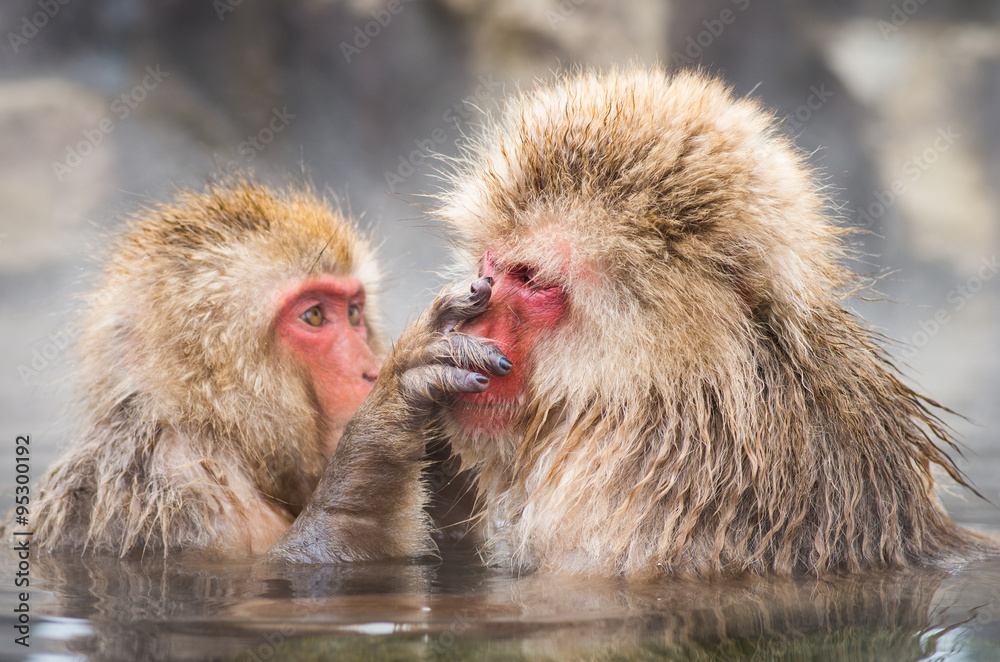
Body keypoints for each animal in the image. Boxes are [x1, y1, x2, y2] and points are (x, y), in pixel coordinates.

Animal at [270, 67, 996, 577]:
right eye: (488, 270)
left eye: (531, 281)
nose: (480, 328)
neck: (679, 399)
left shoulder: (615, 505)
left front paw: (393, 410)